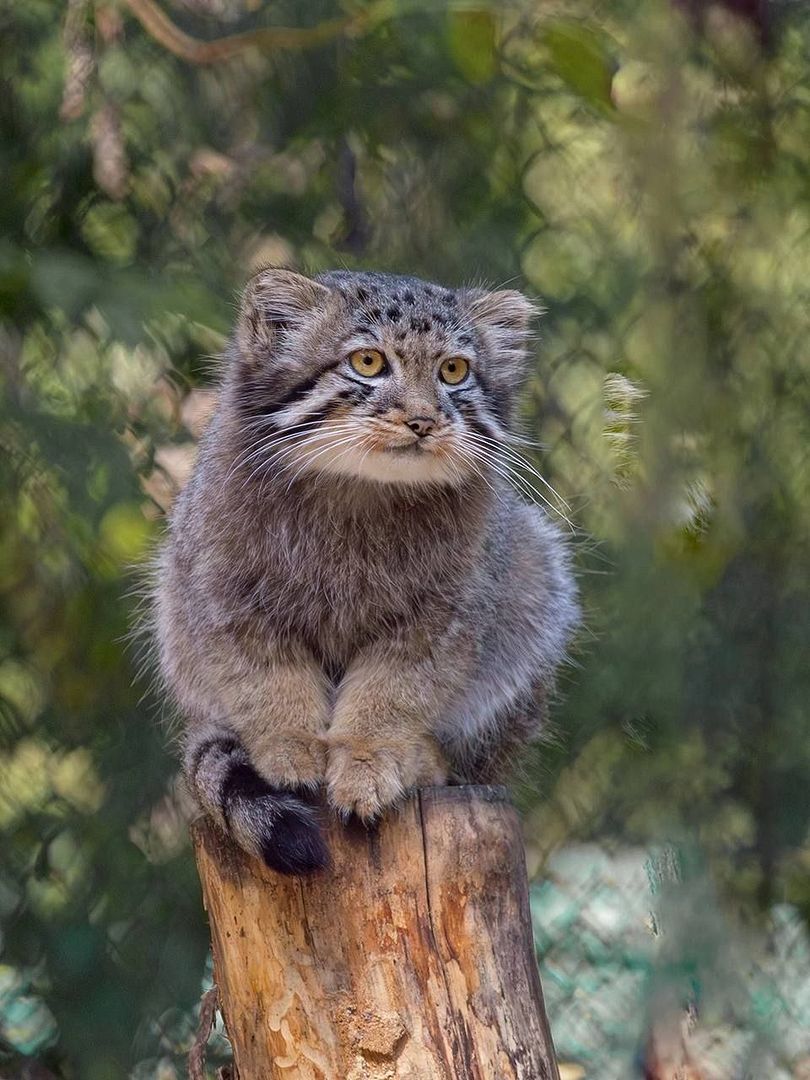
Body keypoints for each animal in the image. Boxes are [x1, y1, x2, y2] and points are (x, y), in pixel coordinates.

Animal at [152, 265, 578, 872]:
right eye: (369, 362)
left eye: (454, 370)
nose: (423, 420)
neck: (360, 491)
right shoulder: (223, 594)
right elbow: (267, 681)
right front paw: (290, 749)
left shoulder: (441, 619)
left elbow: (390, 694)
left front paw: (367, 763)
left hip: (536, 580)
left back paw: (423, 759)